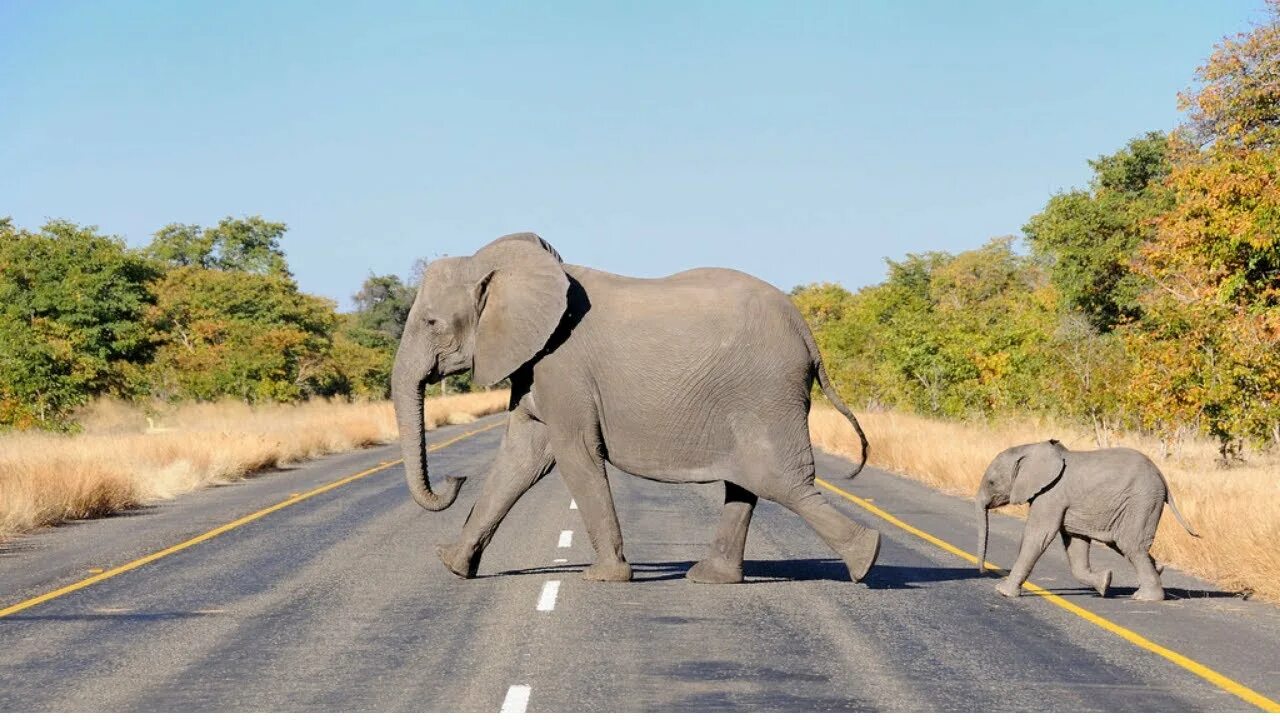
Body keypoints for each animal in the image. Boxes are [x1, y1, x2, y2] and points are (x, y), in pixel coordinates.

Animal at [394, 233, 875, 579]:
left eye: (432, 323)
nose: (455, 478)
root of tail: (807, 332)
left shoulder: (563, 367)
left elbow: (574, 454)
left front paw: (603, 577)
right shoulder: (536, 366)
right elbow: (520, 458)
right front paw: (452, 565)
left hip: (765, 391)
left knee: (778, 480)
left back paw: (866, 560)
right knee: (748, 482)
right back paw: (711, 577)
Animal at [977, 438, 1198, 599]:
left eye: (992, 482)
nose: (984, 572)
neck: (1031, 449)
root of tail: (1162, 477)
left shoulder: (1051, 495)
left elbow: (1039, 535)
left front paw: (1003, 591)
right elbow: (1076, 544)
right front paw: (1105, 583)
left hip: (1142, 501)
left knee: (1131, 545)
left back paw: (1146, 597)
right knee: (1125, 545)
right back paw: (1155, 573)